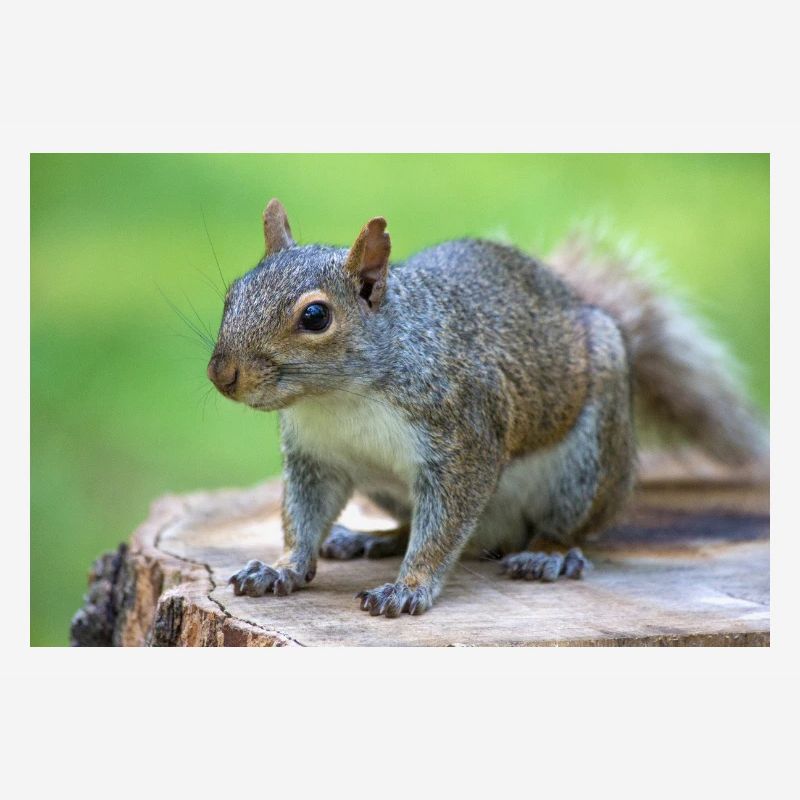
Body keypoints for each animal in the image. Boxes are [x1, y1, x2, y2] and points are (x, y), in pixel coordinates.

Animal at [207, 199, 767, 617]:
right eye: (234, 293)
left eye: (316, 316)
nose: (221, 374)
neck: (338, 399)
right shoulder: (316, 457)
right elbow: (303, 516)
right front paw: (281, 567)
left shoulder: (463, 437)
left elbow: (444, 526)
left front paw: (409, 588)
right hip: (387, 488)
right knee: (412, 522)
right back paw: (373, 539)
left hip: (589, 462)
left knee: (566, 527)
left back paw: (545, 556)